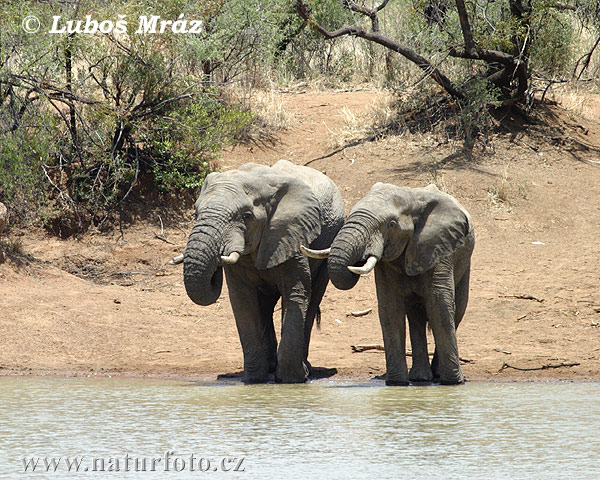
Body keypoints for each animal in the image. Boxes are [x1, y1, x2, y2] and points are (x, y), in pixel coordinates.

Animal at [179, 159, 342, 384]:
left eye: (246, 216)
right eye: (195, 213)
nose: (218, 257)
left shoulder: (291, 233)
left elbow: (296, 294)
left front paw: (291, 379)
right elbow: (243, 301)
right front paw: (254, 380)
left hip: (330, 240)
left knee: (313, 298)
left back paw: (304, 368)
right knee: (264, 306)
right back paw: (271, 367)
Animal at [304, 184, 474, 386]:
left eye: (391, 224)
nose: (359, 258)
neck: (411, 198)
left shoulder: (437, 247)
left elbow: (438, 306)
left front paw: (454, 382)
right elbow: (390, 309)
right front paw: (396, 383)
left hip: (465, 261)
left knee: (457, 309)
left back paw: (436, 375)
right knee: (415, 316)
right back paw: (420, 377)